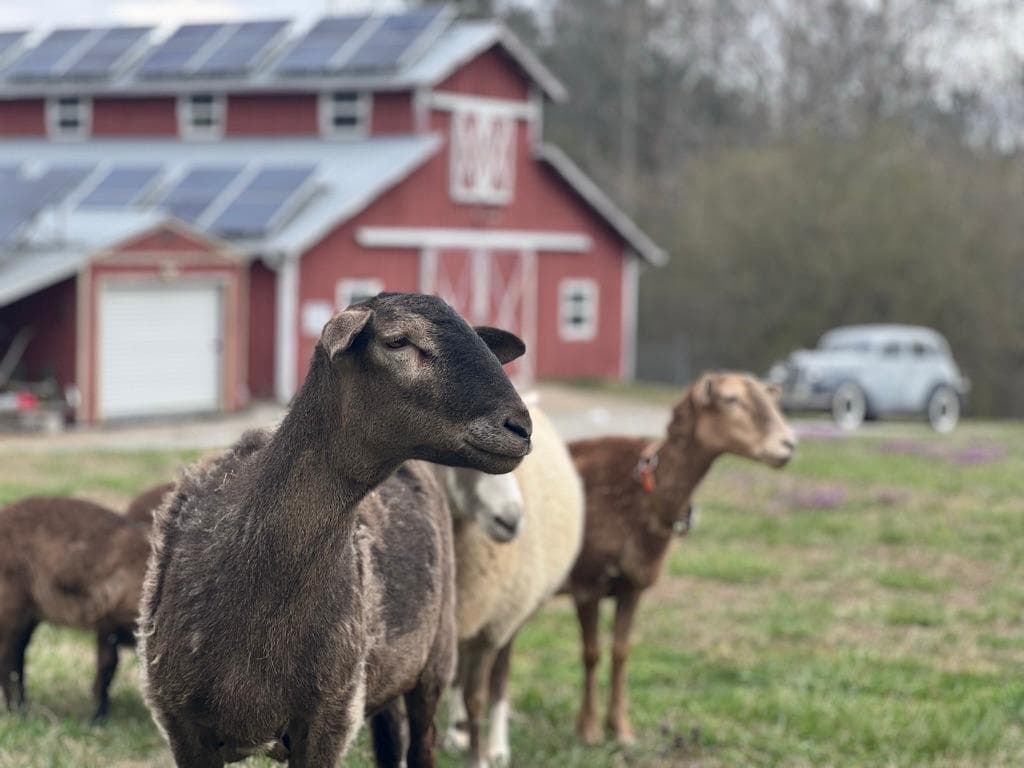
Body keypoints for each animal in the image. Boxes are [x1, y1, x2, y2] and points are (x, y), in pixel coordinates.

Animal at [0, 496, 150, 721]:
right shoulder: (109, 619)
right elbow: (107, 666)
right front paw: (97, 717)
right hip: (12, 605)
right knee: (9, 661)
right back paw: (19, 711)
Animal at [138, 292, 533, 768]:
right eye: (397, 341)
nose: (521, 428)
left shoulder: (328, 717)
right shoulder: (182, 725)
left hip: (434, 660)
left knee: (422, 744)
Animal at [439, 405, 585, 768]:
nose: (511, 520)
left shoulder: (493, 627)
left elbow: (478, 696)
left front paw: (479, 759)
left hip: (513, 612)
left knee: (499, 677)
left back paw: (496, 746)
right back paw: (457, 731)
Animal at [563, 372, 797, 745]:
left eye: (771, 399)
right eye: (731, 399)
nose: (788, 445)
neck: (646, 494)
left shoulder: (633, 583)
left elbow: (620, 652)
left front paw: (621, 728)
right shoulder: (587, 580)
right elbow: (591, 653)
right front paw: (588, 729)